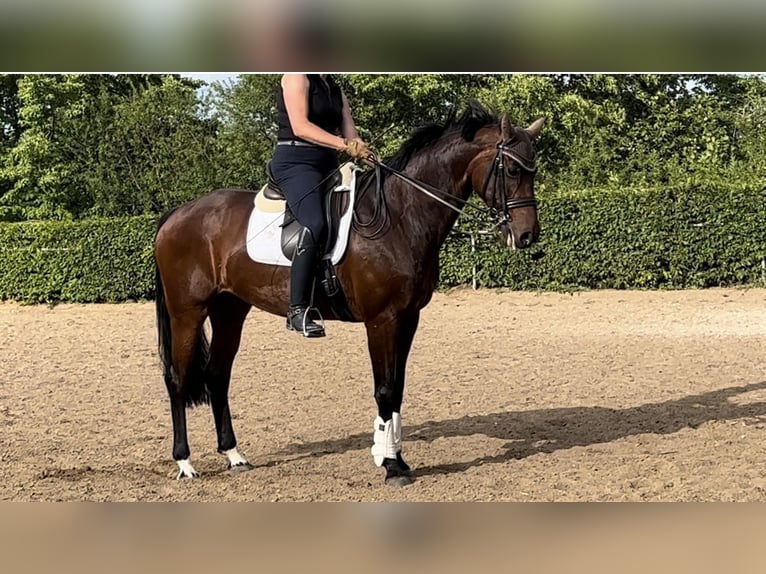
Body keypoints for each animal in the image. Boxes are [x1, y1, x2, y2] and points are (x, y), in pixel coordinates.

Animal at [153, 102, 544, 486]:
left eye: (533, 170)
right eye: (512, 169)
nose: (527, 236)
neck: (400, 216)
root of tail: (177, 214)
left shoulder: (408, 318)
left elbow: (398, 387)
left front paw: (394, 458)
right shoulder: (382, 320)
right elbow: (384, 389)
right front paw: (390, 466)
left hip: (229, 310)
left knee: (217, 374)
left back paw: (234, 455)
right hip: (188, 312)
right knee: (177, 379)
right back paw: (185, 463)